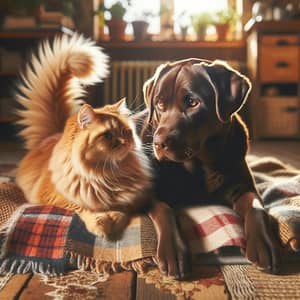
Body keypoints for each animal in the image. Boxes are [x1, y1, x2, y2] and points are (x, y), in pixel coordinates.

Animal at [15, 33, 152, 239]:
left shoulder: (136, 200)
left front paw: (114, 220)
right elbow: (84, 209)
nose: (126, 142)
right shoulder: (56, 197)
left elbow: (122, 210)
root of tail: (53, 134)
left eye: (127, 132)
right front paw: (101, 226)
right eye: (108, 135)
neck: (106, 176)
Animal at [137, 58, 280, 278]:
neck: (200, 165)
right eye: (160, 104)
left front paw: (263, 243)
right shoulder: (151, 193)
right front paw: (173, 251)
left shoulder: (243, 186)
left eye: (192, 103)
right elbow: (164, 210)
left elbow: (256, 206)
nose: (159, 143)